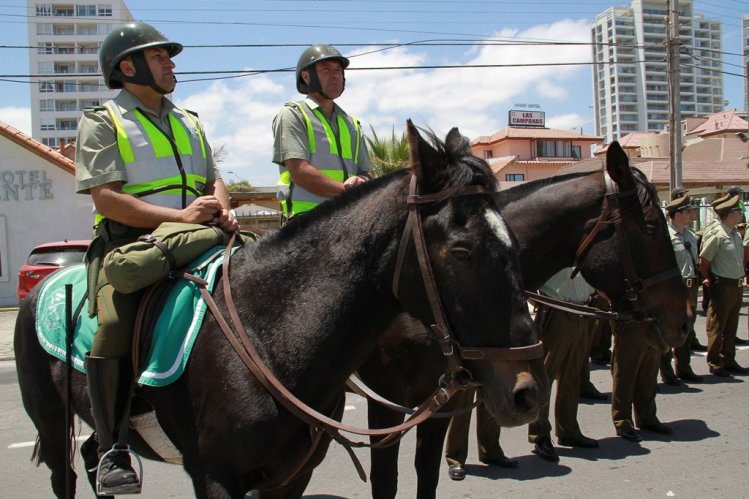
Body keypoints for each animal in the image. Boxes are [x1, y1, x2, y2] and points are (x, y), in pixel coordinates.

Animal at [14, 122, 548, 499]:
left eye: (516, 243)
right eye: (462, 251)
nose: (527, 392)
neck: (268, 335)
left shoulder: (291, 478)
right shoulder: (215, 479)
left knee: (95, 451)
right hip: (53, 427)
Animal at [360, 141, 692, 499]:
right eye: (650, 228)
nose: (684, 321)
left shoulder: (441, 399)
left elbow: (427, 472)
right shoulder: (387, 402)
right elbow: (386, 480)